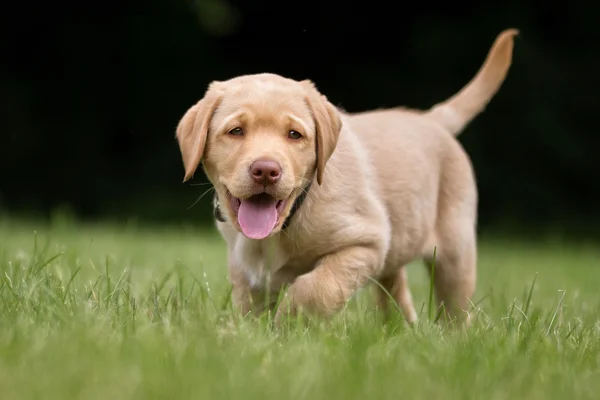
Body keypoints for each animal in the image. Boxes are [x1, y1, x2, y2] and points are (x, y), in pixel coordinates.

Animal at [176, 30, 516, 324]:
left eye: (294, 134)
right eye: (236, 131)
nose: (266, 170)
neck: (291, 218)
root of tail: (431, 119)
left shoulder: (366, 242)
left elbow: (315, 288)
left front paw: (287, 322)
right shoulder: (244, 267)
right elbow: (248, 306)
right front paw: (248, 332)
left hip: (455, 250)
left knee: (455, 307)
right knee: (396, 294)